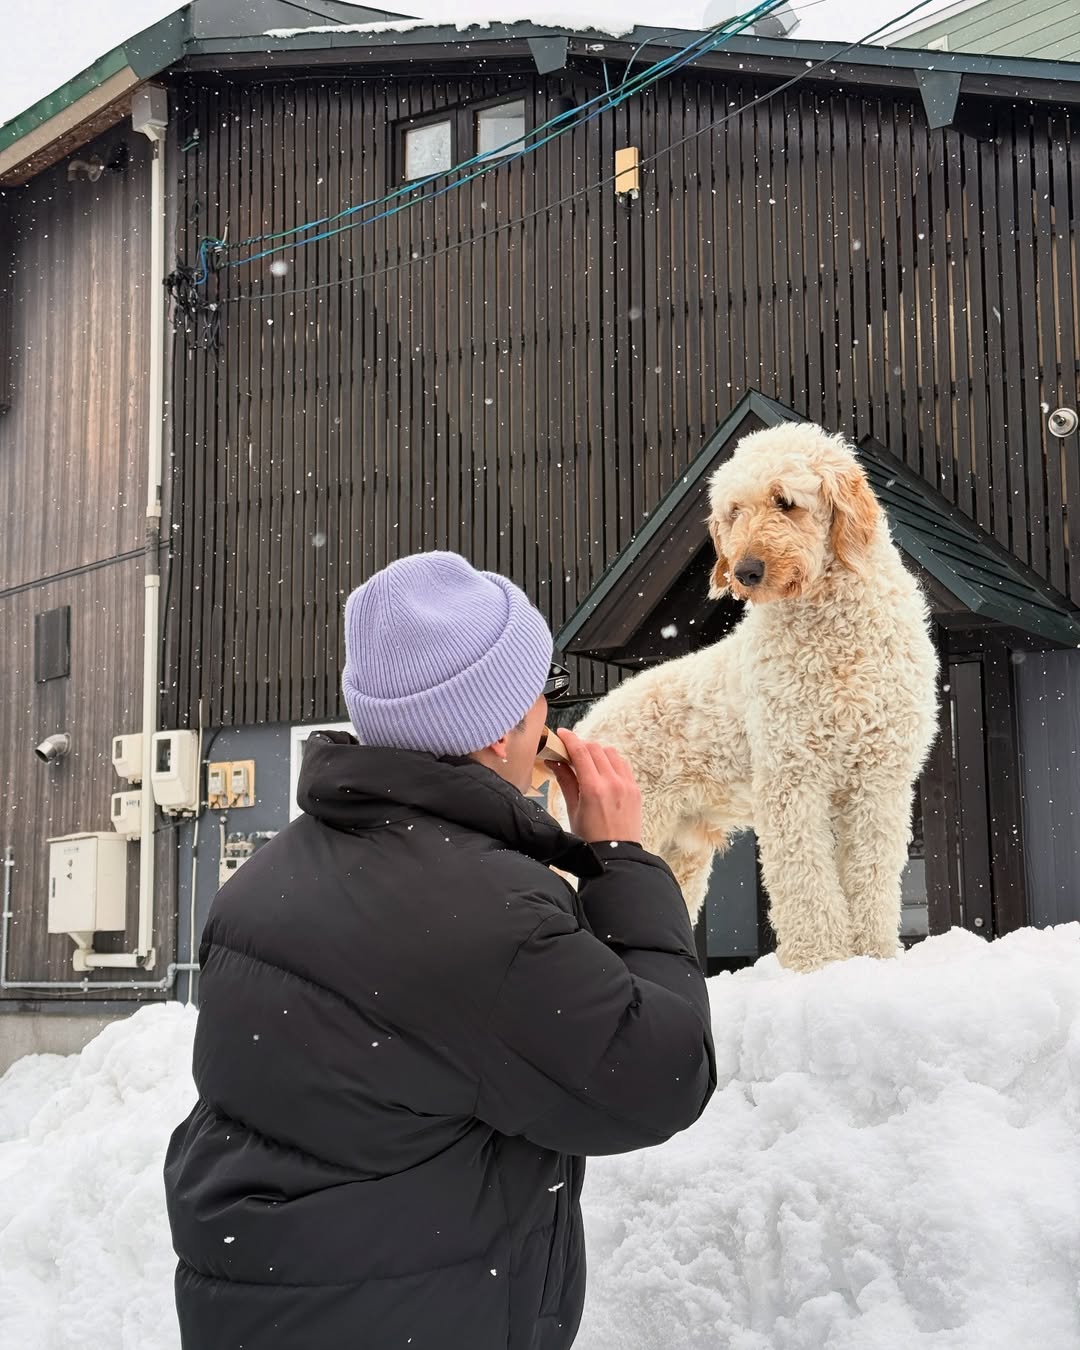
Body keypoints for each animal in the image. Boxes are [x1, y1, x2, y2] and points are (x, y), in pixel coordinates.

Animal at [564, 421, 934, 972]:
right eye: (734, 511)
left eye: (785, 502)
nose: (746, 571)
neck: (835, 639)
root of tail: (582, 726)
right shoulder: (792, 775)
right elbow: (805, 880)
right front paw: (821, 962)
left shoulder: (878, 780)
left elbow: (871, 876)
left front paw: (873, 958)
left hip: (678, 852)